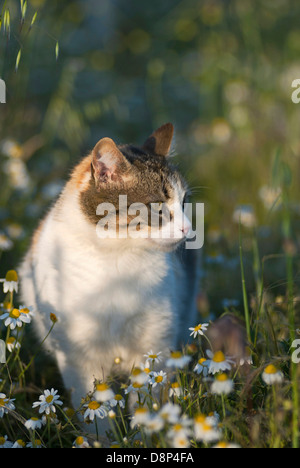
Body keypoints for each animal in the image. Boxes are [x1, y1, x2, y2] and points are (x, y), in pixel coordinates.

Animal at [18, 122, 199, 418]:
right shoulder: (78, 357)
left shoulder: (155, 344)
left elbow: (148, 400)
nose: (188, 229)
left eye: (184, 203)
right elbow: (96, 410)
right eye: (158, 208)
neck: (119, 258)